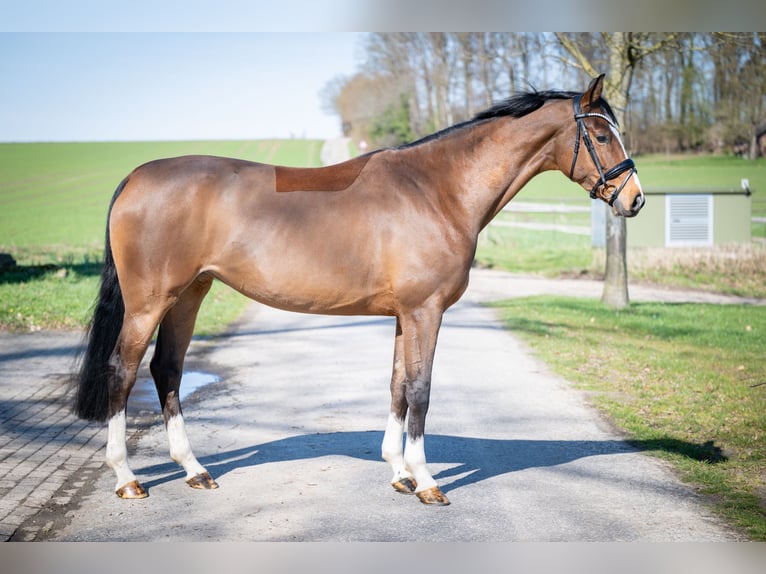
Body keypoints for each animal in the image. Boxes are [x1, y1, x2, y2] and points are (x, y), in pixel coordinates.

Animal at [73, 74, 643, 505]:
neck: (436, 190)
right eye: (601, 134)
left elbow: (396, 386)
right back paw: (127, 478)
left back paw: (194, 469)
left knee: (167, 371)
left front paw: (399, 473)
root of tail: (136, 178)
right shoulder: (425, 311)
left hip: (190, 296)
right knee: (123, 371)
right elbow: (421, 390)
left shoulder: (405, 315)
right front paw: (427, 481)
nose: (634, 198)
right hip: (149, 303)